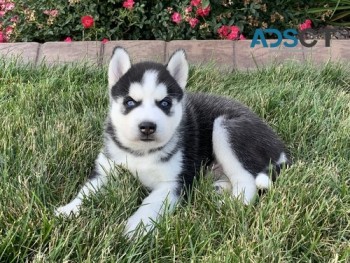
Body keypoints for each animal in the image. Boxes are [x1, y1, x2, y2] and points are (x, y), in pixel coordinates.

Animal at [56, 47, 288, 237]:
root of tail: (280, 147)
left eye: (165, 103)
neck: (142, 153)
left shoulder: (173, 182)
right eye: (130, 102)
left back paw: (234, 204)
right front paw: (68, 209)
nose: (147, 126)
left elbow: (149, 204)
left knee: (246, 180)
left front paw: (135, 229)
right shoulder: (106, 169)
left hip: (225, 127)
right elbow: (87, 191)